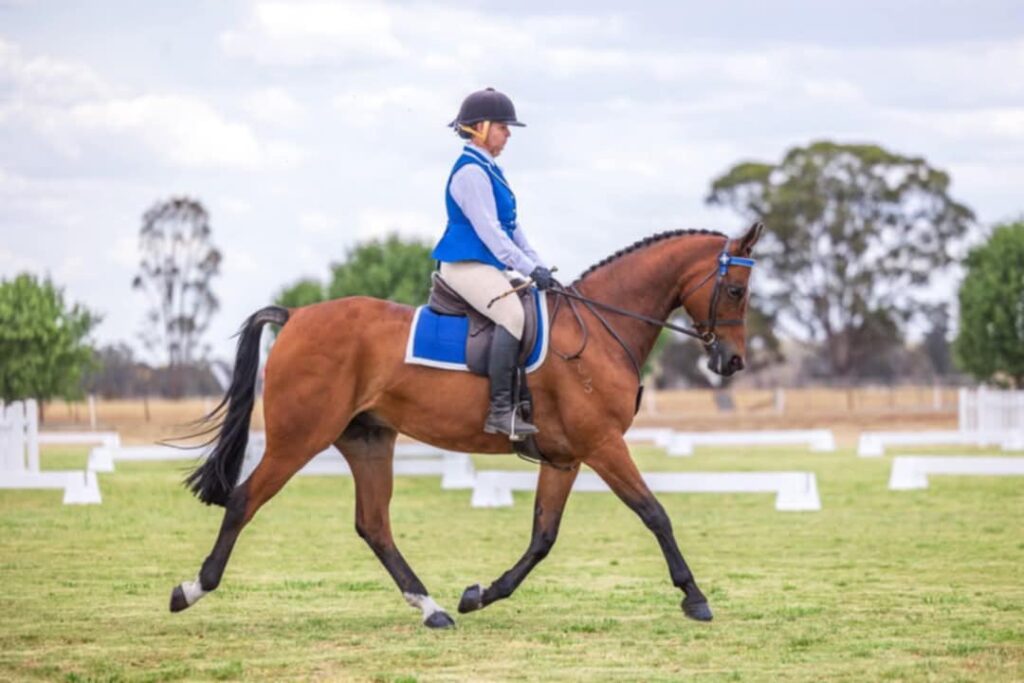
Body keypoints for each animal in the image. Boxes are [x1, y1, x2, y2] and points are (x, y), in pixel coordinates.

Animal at [167, 222, 761, 626]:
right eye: (736, 290)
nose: (732, 362)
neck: (599, 326)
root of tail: (295, 316)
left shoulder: (566, 457)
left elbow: (543, 536)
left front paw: (481, 594)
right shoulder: (603, 444)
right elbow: (654, 513)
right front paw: (695, 597)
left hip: (367, 440)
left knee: (373, 524)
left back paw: (431, 608)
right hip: (299, 438)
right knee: (245, 501)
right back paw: (191, 589)